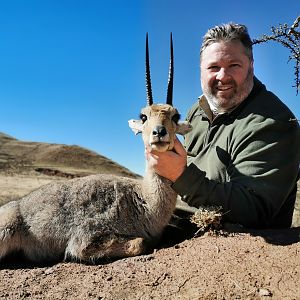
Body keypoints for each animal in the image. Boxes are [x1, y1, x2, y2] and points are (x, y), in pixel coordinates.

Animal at [0, 33, 192, 262]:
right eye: (144, 116)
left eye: (175, 116)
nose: (159, 132)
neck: (144, 199)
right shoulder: (84, 239)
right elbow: (140, 243)